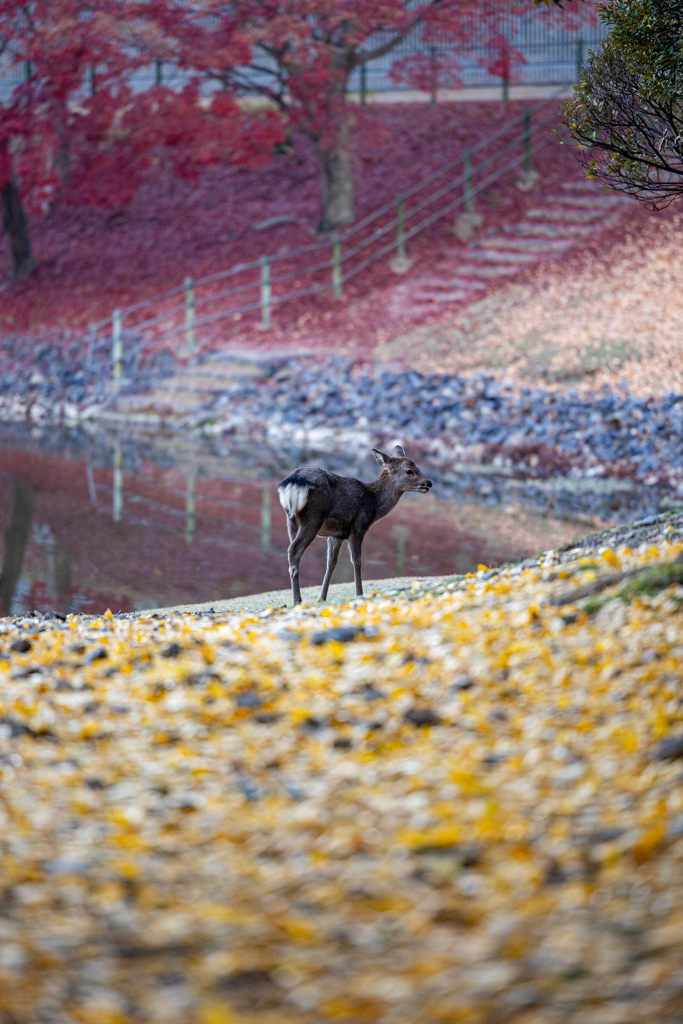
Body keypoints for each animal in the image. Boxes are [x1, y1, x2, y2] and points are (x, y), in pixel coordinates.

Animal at [278, 444, 432, 602]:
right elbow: (357, 560)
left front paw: (322, 598)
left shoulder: (336, 534)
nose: (429, 482)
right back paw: (297, 600)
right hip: (313, 518)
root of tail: (293, 482)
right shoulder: (358, 527)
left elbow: (331, 563)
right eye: (409, 470)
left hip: (291, 520)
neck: (374, 504)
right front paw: (359, 593)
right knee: (294, 550)